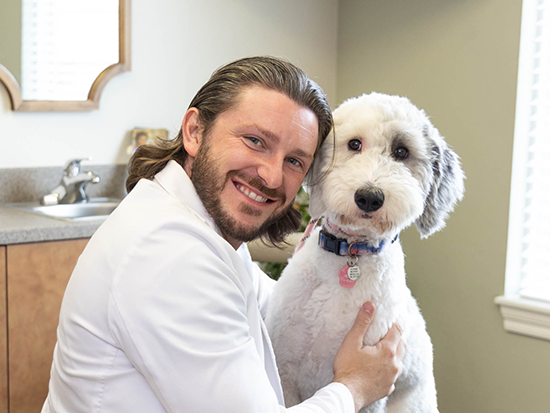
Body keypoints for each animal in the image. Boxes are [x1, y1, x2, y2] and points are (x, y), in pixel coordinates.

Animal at [266, 93, 466, 412]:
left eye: (401, 151)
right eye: (354, 144)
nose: (370, 197)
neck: (351, 253)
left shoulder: (373, 395)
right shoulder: (285, 370)